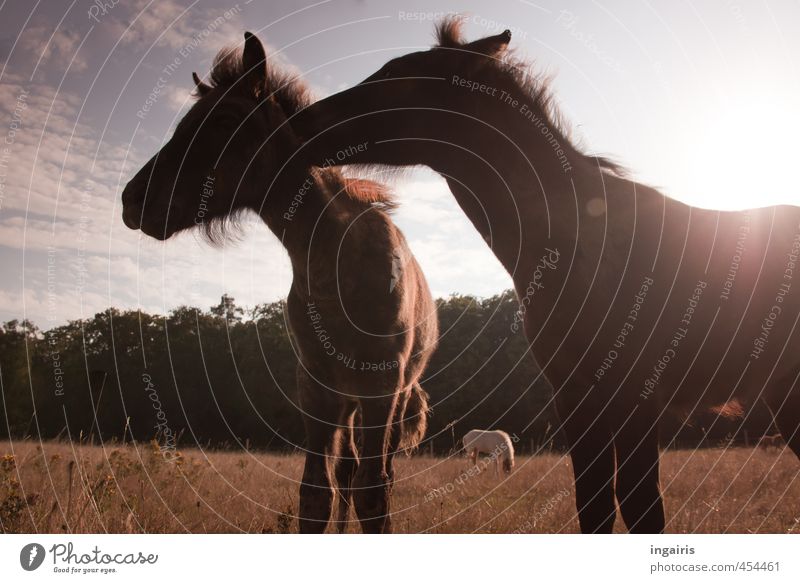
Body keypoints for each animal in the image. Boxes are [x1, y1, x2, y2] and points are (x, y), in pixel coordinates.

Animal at [120, 32, 438, 532]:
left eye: (225, 118)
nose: (132, 200)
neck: (335, 262)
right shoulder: (316, 387)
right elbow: (316, 494)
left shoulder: (381, 385)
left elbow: (373, 495)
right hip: (347, 401)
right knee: (346, 470)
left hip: (390, 395)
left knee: (377, 474)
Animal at [292, 18, 800, 532]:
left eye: (400, 76)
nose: (301, 123)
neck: (576, 243)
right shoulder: (574, 395)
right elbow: (594, 506)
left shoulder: (634, 395)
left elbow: (640, 508)